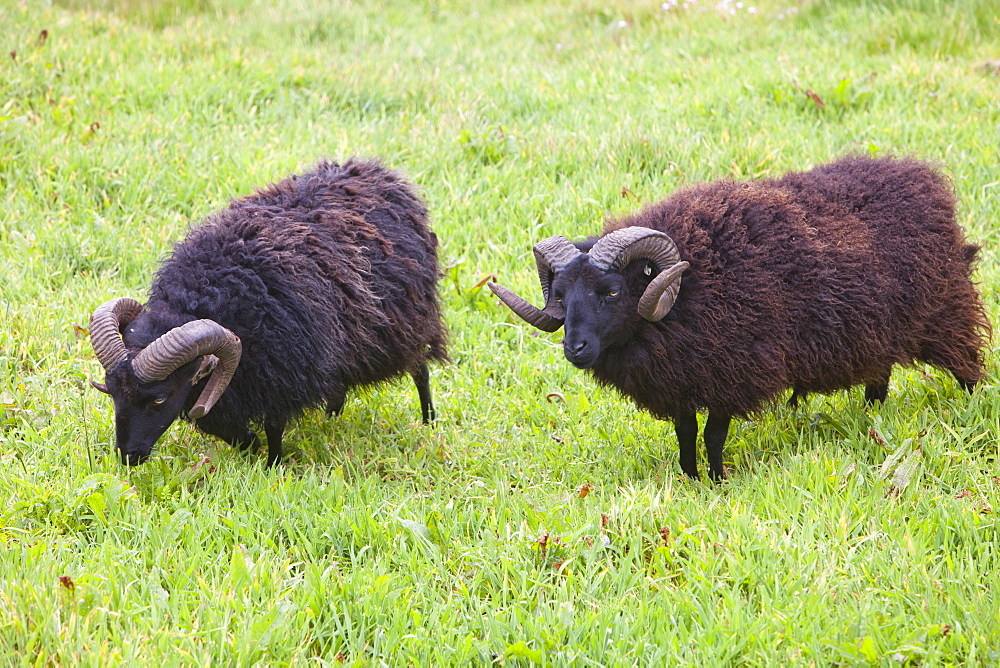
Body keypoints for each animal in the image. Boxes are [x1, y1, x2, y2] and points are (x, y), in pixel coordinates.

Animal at [90, 159, 450, 468]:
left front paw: (273, 464)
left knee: (420, 369)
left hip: (407, 320)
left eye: (159, 399)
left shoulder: (281, 370)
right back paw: (331, 419)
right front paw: (250, 443)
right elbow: (220, 425)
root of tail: (375, 172)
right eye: (110, 393)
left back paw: (428, 422)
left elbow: (274, 427)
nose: (128, 456)